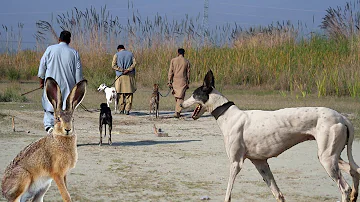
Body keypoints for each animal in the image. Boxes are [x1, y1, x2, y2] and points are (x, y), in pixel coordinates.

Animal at [181, 70, 360, 202]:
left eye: (194, 94)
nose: (181, 104)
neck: (228, 114)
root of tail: (342, 118)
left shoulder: (235, 163)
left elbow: (228, 193)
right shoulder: (260, 163)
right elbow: (277, 193)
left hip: (327, 159)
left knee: (345, 188)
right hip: (332, 156)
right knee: (355, 170)